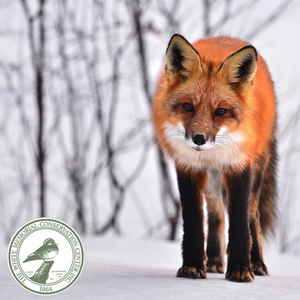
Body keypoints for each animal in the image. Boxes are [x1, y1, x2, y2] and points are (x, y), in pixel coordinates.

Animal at [152, 34, 276, 282]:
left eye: (221, 111)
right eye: (187, 106)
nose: (199, 139)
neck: (212, 154)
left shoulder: (239, 166)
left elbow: (239, 222)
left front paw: (240, 268)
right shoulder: (188, 167)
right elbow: (194, 222)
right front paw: (192, 266)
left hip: (257, 169)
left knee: (252, 215)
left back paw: (256, 262)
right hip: (212, 180)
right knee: (216, 213)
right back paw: (215, 261)